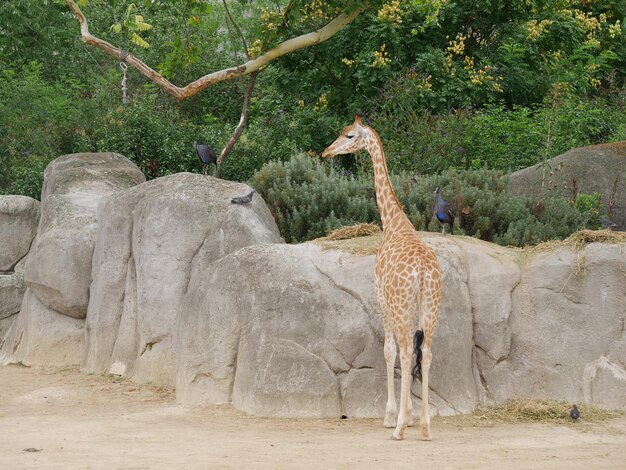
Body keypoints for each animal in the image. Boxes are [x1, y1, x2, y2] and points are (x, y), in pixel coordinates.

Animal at [322, 114, 438, 440]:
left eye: (349, 136)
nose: (326, 152)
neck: (393, 222)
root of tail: (423, 271)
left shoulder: (380, 297)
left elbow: (389, 351)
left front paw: (392, 416)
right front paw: (407, 416)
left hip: (400, 305)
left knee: (407, 350)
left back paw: (398, 428)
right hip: (431, 306)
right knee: (426, 351)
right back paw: (425, 427)